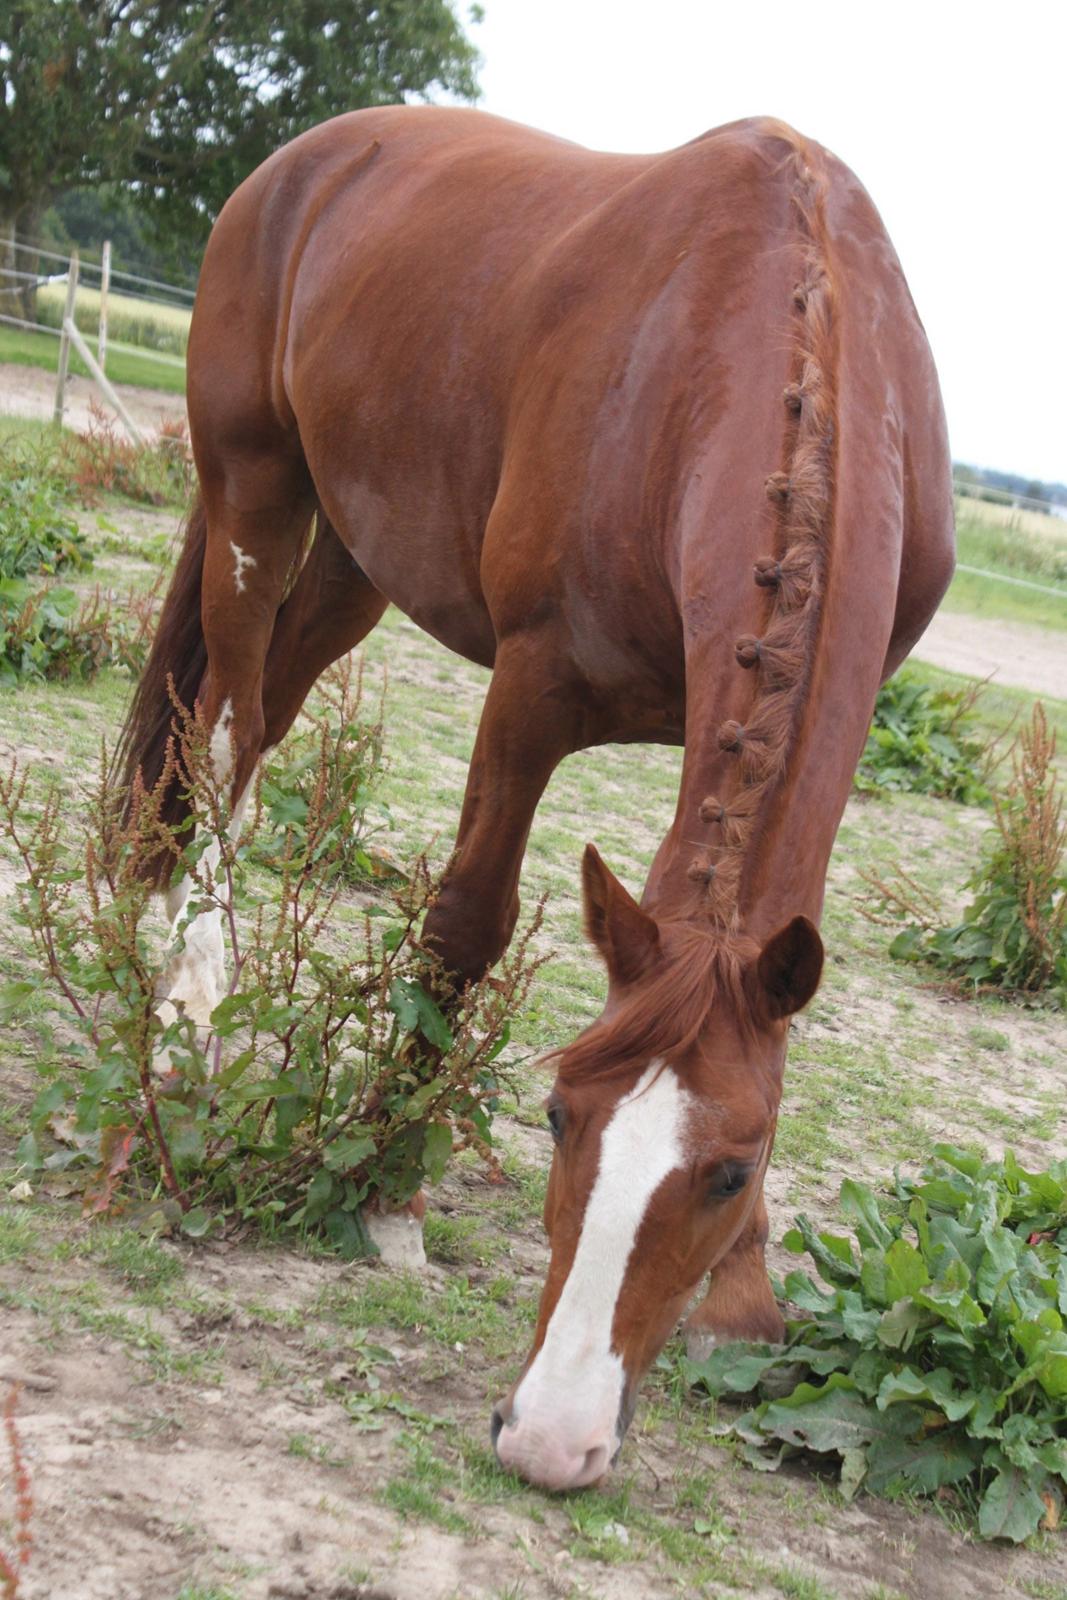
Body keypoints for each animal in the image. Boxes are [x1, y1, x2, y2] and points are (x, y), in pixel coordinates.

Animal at [120, 109, 953, 1484]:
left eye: (732, 1172)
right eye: (558, 1117)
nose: (552, 1439)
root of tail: (309, 156)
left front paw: (743, 1293)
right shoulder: (531, 688)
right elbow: (466, 922)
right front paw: (386, 1183)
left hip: (356, 554)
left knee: (255, 716)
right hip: (255, 491)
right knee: (229, 726)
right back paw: (191, 988)